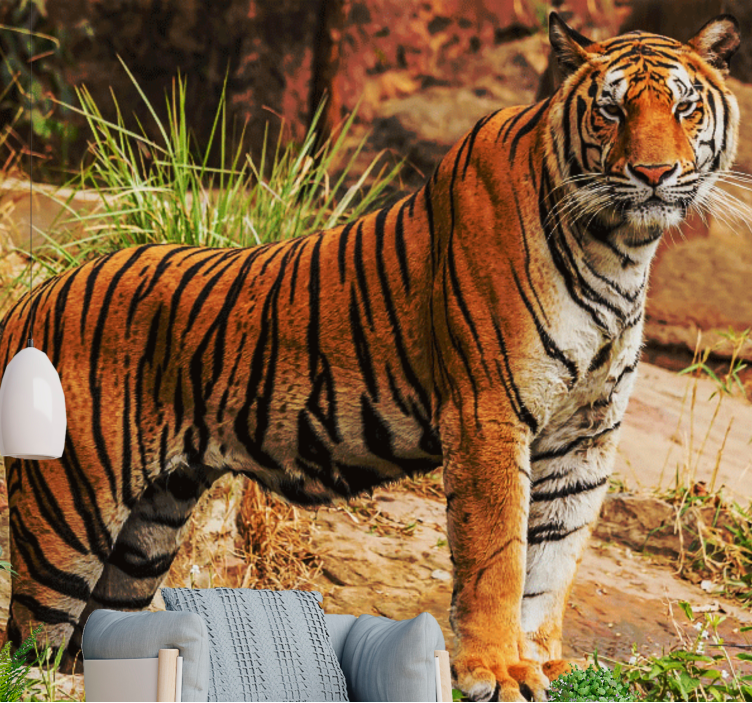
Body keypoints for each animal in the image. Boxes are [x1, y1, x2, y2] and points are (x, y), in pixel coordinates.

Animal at [1, 11, 741, 701]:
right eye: (611, 109)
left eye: (684, 107)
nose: (653, 173)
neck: (620, 249)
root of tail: (34, 295)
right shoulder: (489, 416)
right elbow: (499, 557)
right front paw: (498, 670)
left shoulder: (586, 433)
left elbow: (552, 560)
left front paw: (541, 662)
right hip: (66, 518)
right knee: (30, 641)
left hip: (148, 530)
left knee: (105, 634)